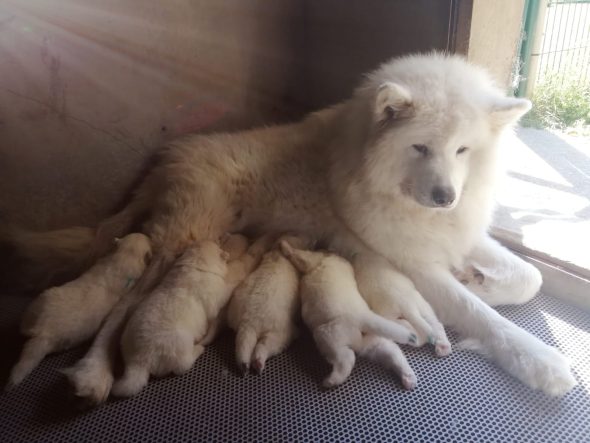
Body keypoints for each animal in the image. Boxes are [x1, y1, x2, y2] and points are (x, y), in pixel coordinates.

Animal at [112, 234, 272, 398]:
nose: (220, 239)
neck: (195, 263)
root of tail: (139, 361)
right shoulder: (217, 295)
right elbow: (226, 285)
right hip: (180, 346)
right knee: (183, 365)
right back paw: (198, 349)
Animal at [228, 234, 312, 376]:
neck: (278, 255)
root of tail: (249, 322)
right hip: (280, 332)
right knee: (265, 345)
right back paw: (258, 363)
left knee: (243, 344)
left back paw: (244, 366)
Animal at [284, 241, 418, 390]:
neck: (334, 256)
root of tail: (364, 317)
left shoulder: (312, 260)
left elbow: (298, 255)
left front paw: (284, 245)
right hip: (374, 343)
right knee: (394, 353)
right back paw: (409, 377)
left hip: (327, 335)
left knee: (347, 358)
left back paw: (331, 380)